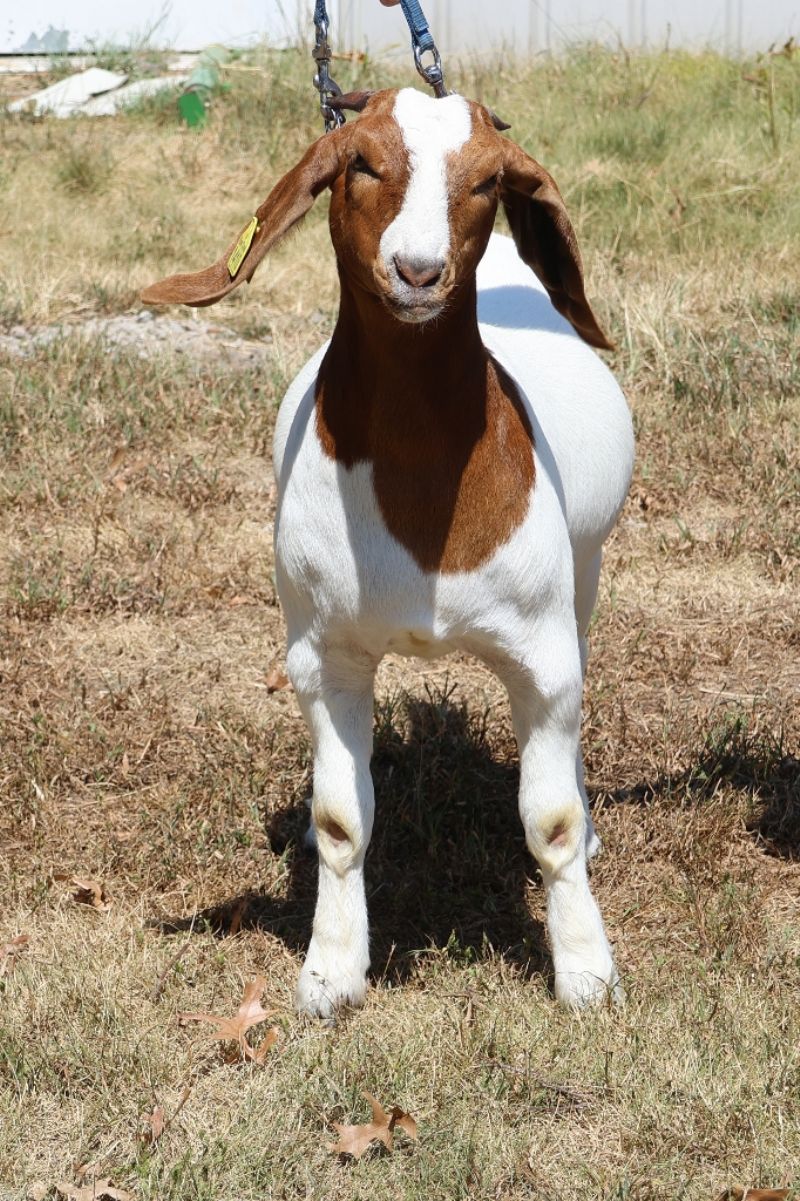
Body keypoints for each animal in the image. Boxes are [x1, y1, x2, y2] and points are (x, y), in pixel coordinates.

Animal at [143, 87, 635, 1016]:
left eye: (487, 181)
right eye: (362, 162)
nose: (417, 271)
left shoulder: (541, 651)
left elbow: (549, 821)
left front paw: (586, 969)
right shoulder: (324, 654)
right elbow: (343, 821)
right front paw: (332, 971)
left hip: (583, 576)